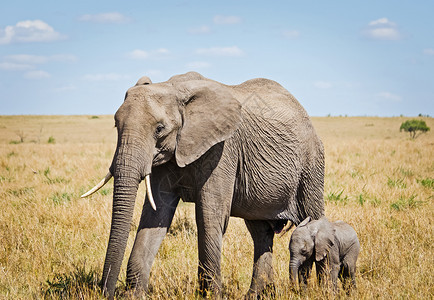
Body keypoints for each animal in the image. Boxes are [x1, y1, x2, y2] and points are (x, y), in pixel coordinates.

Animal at [82, 71, 326, 298]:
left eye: (159, 129)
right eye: (116, 125)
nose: (105, 292)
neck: (173, 88)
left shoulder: (222, 149)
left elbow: (209, 216)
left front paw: (209, 295)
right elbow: (156, 216)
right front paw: (133, 295)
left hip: (311, 163)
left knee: (313, 217)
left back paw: (325, 289)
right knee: (260, 232)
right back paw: (255, 295)